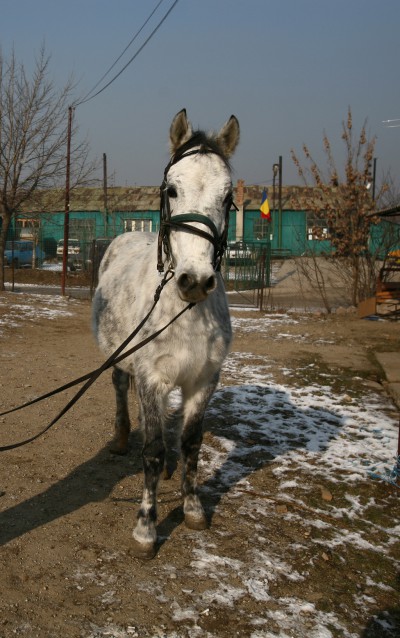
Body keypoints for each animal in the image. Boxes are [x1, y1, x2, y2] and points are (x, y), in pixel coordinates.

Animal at [92, 110, 239, 560]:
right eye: (172, 189)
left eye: (228, 196)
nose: (196, 280)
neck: (183, 311)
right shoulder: (151, 377)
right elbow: (153, 451)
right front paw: (145, 528)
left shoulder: (203, 380)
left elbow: (191, 443)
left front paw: (192, 508)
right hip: (123, 358)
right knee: (121, 387)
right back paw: (122, 437)